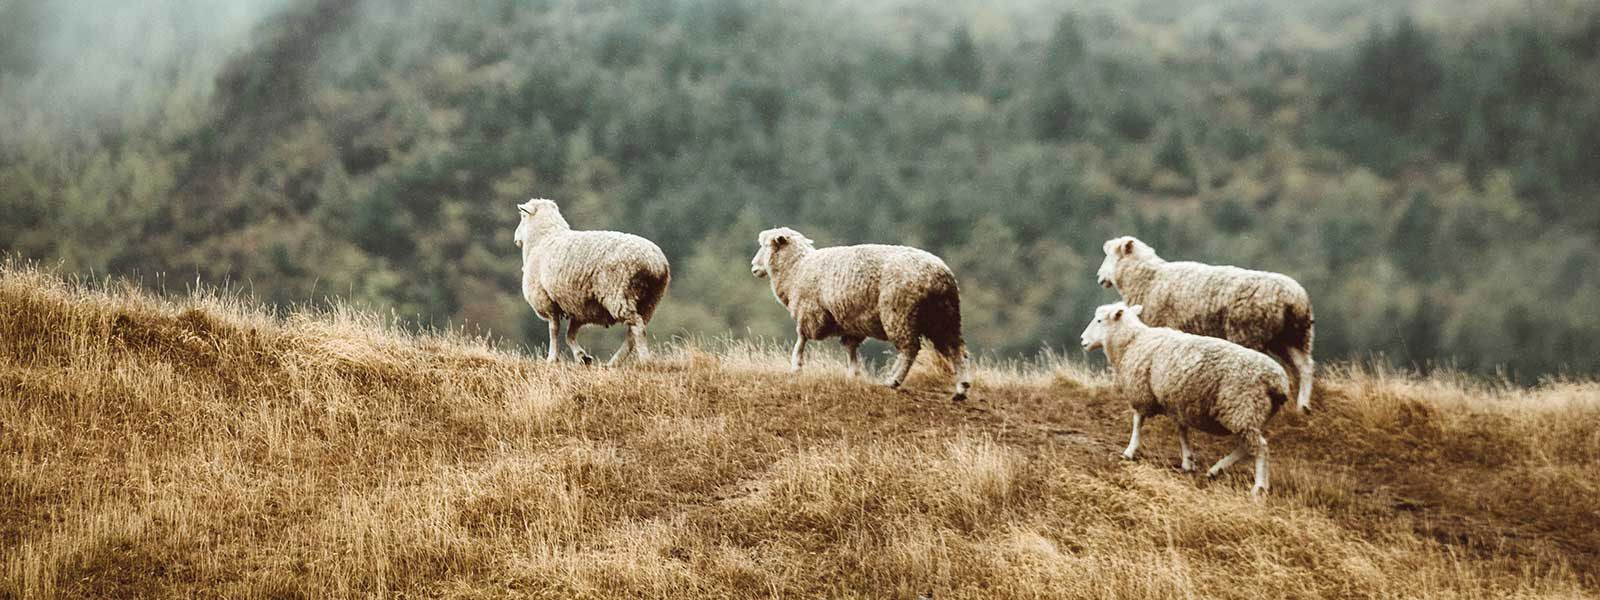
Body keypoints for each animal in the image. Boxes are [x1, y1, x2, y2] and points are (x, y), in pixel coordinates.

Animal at [513, 199, 670, 366]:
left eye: (522, 216)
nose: (516, 238)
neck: (543, 239)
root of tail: (654, 263)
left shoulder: (547, 301)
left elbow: (554, 331)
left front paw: (552, 359)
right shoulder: (578, 308)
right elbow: (570, 335)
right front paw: (583, 357)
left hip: (619, 295)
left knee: (637, 327)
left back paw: (644, 360)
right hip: (650, 300)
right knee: (633, 333)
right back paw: (613, 363)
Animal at [750, 227, 972, 401]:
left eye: (766, 246)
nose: (753, 267)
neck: (797, 269)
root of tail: (939, 275)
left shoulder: (809, 312)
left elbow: (801, 339)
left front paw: (796, 366)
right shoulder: (848, 323)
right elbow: (850, 349)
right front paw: (853, 375)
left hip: (899, 313)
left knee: (910, 349)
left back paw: (893, 380)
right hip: (945, 317)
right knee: (956, 348)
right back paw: (961, 388)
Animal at [1081, 302, 1290, 496]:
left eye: (1099, 320)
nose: (1082, 340)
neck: (1133, 342)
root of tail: (1277, 381)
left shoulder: (1141, 392)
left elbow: (1137, 422)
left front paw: (1130, 451)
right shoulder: (1175, 401)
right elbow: (1182, 430)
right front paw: (1188, 461)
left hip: (1242, 408)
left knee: (1260, 448)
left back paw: (1258, 487)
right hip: (1251, 414)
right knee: (1246, 447)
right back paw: (1218, 470)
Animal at [1097, 235, 1316, 413]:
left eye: (1110, 256)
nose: (1099, 278)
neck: (1149, 278)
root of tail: (1294, 298)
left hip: (1250, 333)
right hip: (1294, 336)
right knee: (1304, 367)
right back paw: (1302, 406)